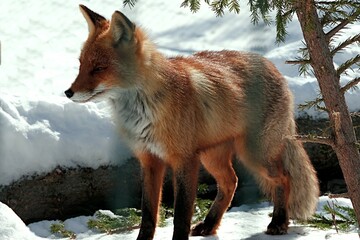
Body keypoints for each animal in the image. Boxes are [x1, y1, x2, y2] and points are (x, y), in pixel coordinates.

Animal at [66, 5, 320, 240]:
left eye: (99, 68)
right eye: (80, 65)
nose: (68, 93)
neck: (143, 112)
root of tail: (271, 65)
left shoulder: (184, 159)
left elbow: (181, 214)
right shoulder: (150, 159)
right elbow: (148, 214)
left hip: (255, 154)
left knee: (283, 178)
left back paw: (279, 222)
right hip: (212, 156)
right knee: (231, 182)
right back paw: (209, 225)